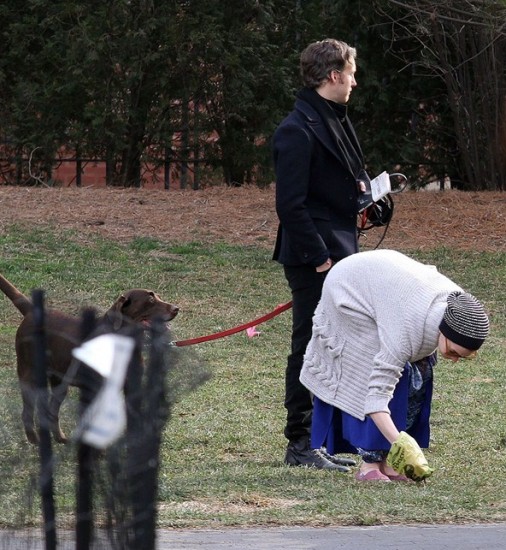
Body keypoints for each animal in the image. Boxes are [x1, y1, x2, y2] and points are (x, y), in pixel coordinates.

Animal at [0, 274, 179, 446]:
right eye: (150, 300)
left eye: (159, 297)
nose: (176, 308)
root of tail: (31, 311)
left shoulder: (131, 386)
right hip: (29, 374)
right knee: (27, 412)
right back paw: (34, 441)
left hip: (59, 381)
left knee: (51, 410)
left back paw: (59, 438)